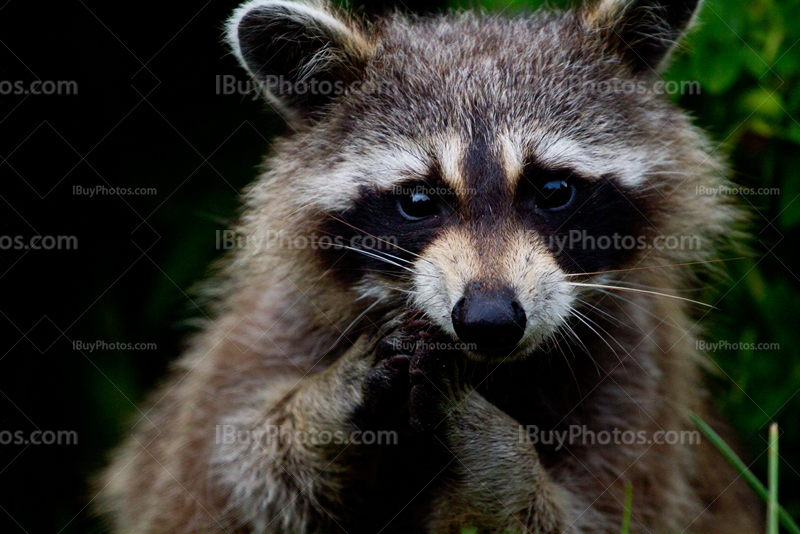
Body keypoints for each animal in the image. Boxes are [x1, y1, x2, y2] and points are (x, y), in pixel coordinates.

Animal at [98, 0, 764, 532]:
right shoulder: (262, 340)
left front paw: (498, 452)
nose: (490, 320)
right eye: (419, 201)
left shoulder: (640, 377)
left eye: (552, 190)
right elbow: (227, 474)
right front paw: (324, 405)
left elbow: (601, 515)